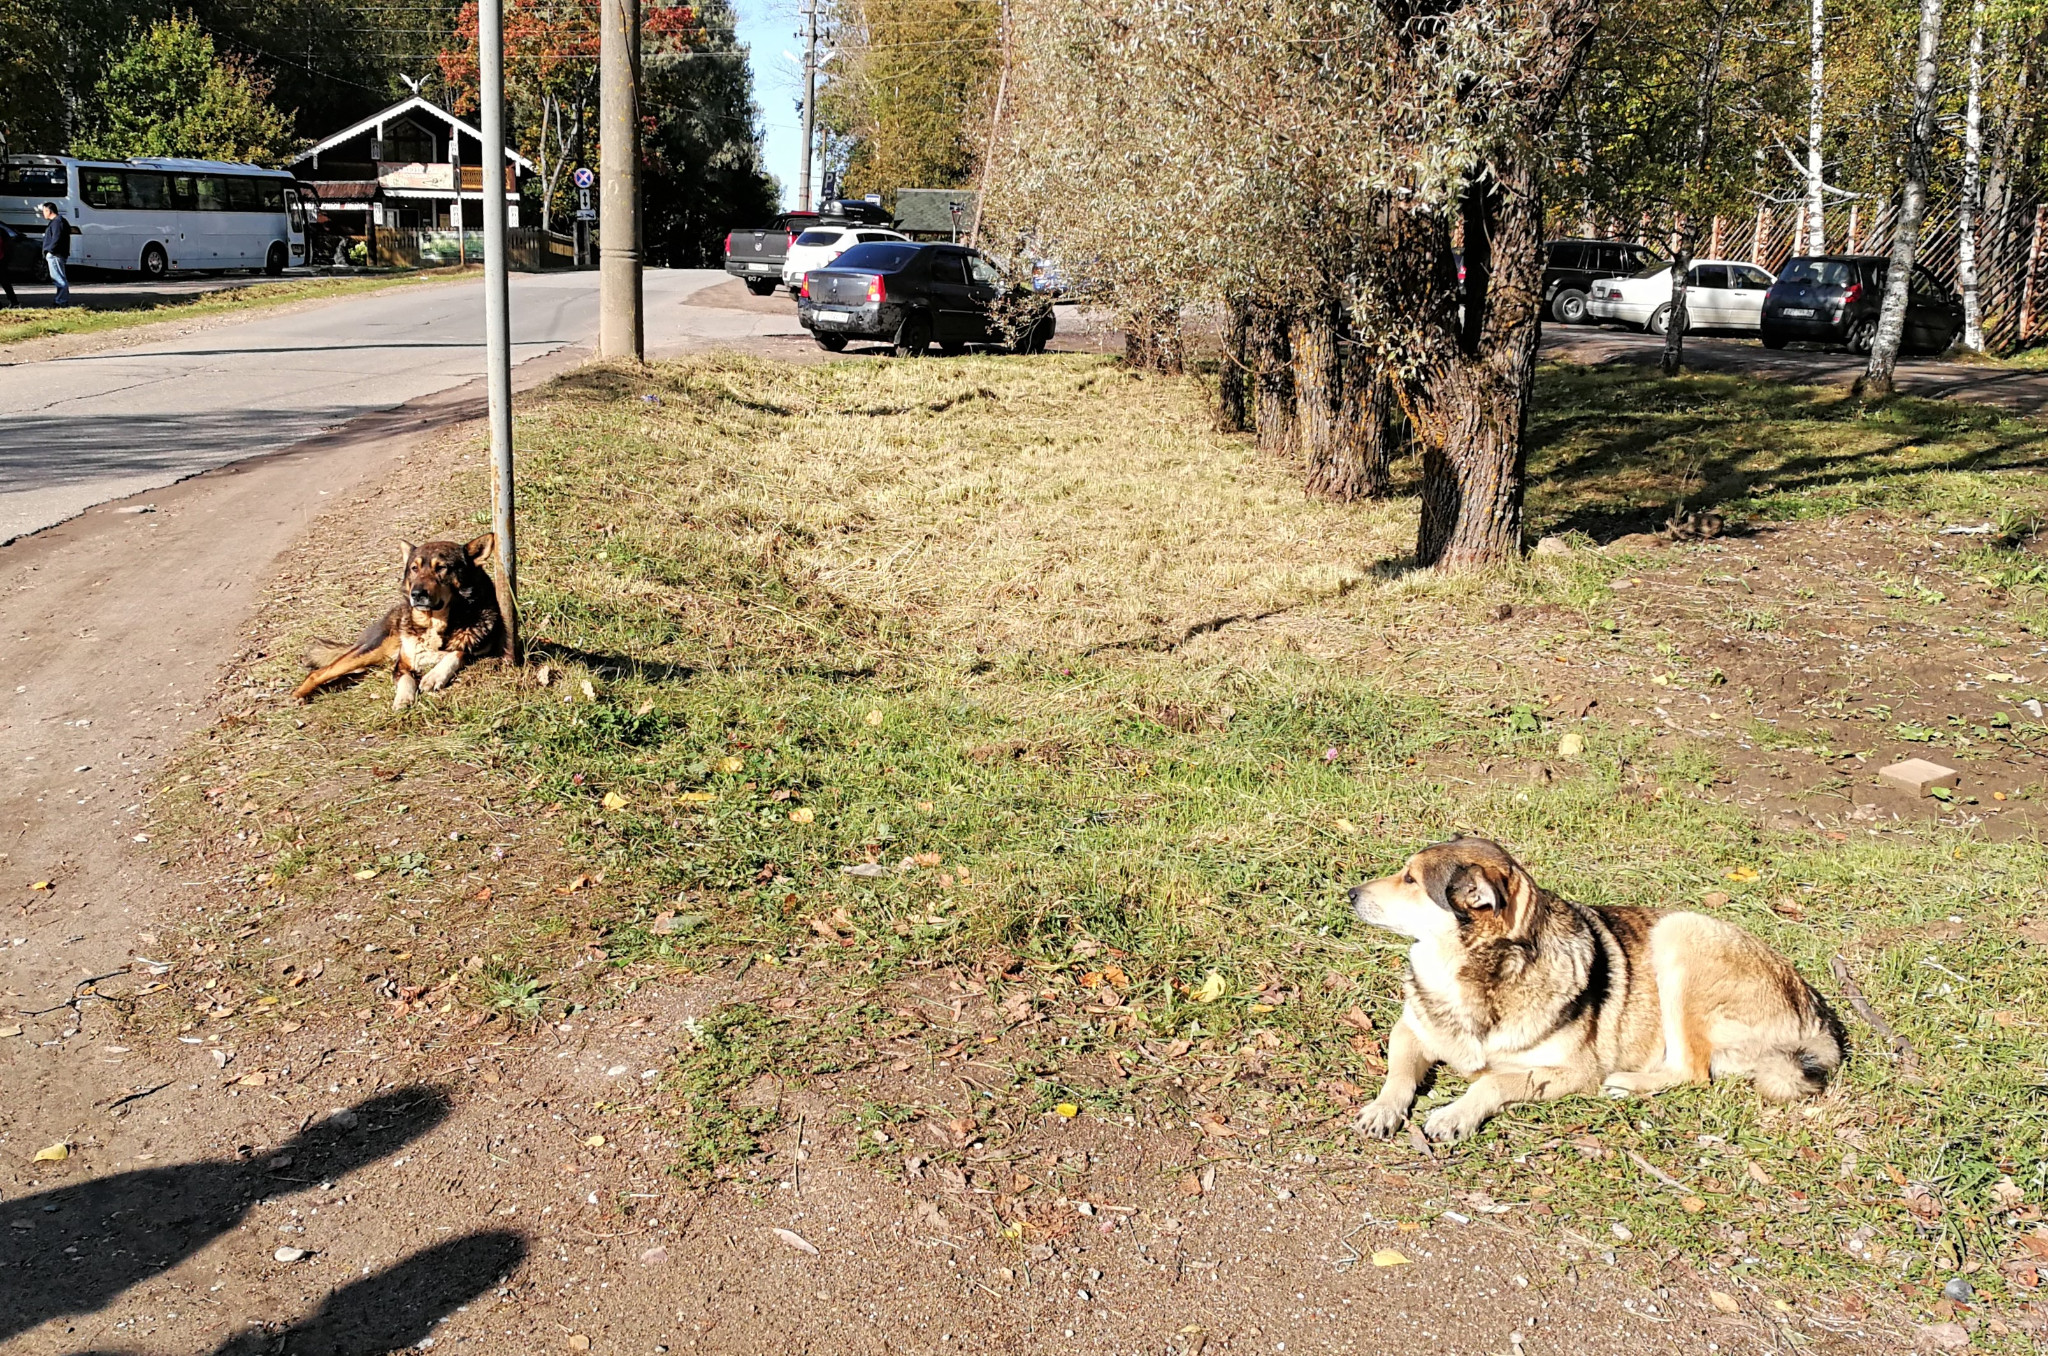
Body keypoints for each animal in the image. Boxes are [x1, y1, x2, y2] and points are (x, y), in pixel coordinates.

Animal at [292, 540, 503, 716]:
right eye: (414, 568)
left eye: (442, 568)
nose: (416, 594)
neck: (434, 623)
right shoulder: (401, 665)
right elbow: (406, 679)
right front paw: (403, 699)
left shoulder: (483, 650)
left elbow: (458, 652)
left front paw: (434, 676)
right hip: (369, 652)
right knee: (318, 672)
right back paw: (299, 694)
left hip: (371, 666)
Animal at [1351, 839, 1851, 1147]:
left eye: (1411, 880)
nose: (1352, 892)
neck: (1479, 975)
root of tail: (1815, 1014)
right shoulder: (1410, 1030)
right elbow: (1397, 1074)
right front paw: (1382, 1109)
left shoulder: (1574, 1072)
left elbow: (1493, 1080)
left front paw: (1454, 1114)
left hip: (1679, 934)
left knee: (1693, 1072)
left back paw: (1628, 1083)